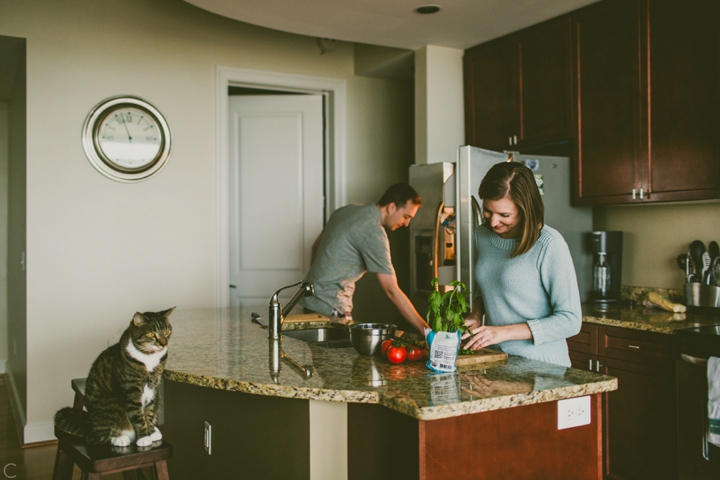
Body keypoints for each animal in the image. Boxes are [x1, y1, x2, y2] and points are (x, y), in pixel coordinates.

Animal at [54, 308, 176, 446]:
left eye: (167, 332)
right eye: (151, 334)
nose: (164, 344)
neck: (149, 358)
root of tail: (90, 425)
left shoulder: (153, 388)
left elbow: (148, 412)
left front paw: (151, 432)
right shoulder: (132, 389)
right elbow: (138, 415)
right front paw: (144, 438)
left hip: (157, 395)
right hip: (112, 403)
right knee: (94, 437)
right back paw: (120, 438)